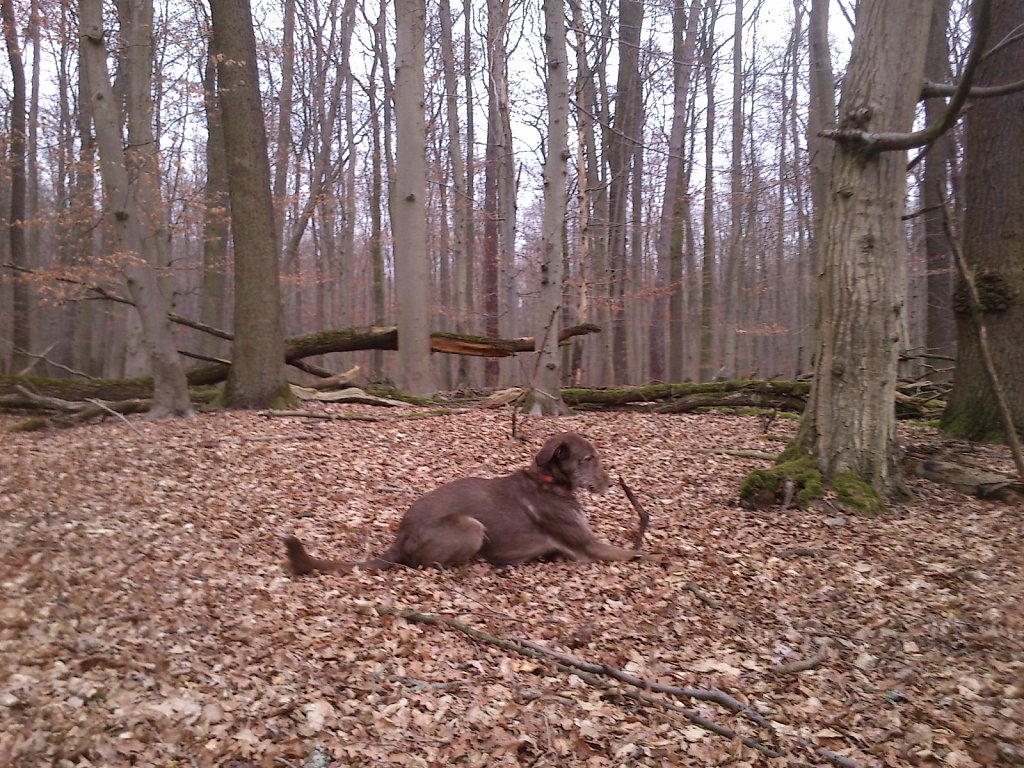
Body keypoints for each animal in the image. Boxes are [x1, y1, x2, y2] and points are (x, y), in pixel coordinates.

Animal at [282, 434, 638, 573]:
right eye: (588, 459)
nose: (611, 484)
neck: (551, 482)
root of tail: (402, 537)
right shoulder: (588, 547)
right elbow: (640, 555)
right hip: (470, 525)